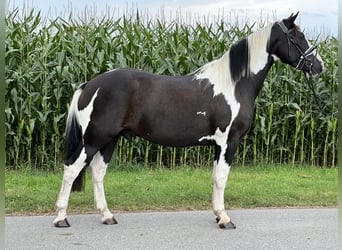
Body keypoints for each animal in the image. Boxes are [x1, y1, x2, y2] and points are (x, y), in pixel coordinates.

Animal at [53, 13, 324, 229]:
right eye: (299, 37)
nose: (319, 66)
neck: (235, 85)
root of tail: (90, 85)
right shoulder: (228, 142)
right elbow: (221, 178)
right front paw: (225, 219)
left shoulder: (217, 145)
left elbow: (215, 177)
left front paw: (217, 214)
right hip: (94, 139)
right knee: (71, 169)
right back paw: (61, 218)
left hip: (109, 140)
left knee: (98, 172)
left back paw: (107, 216)